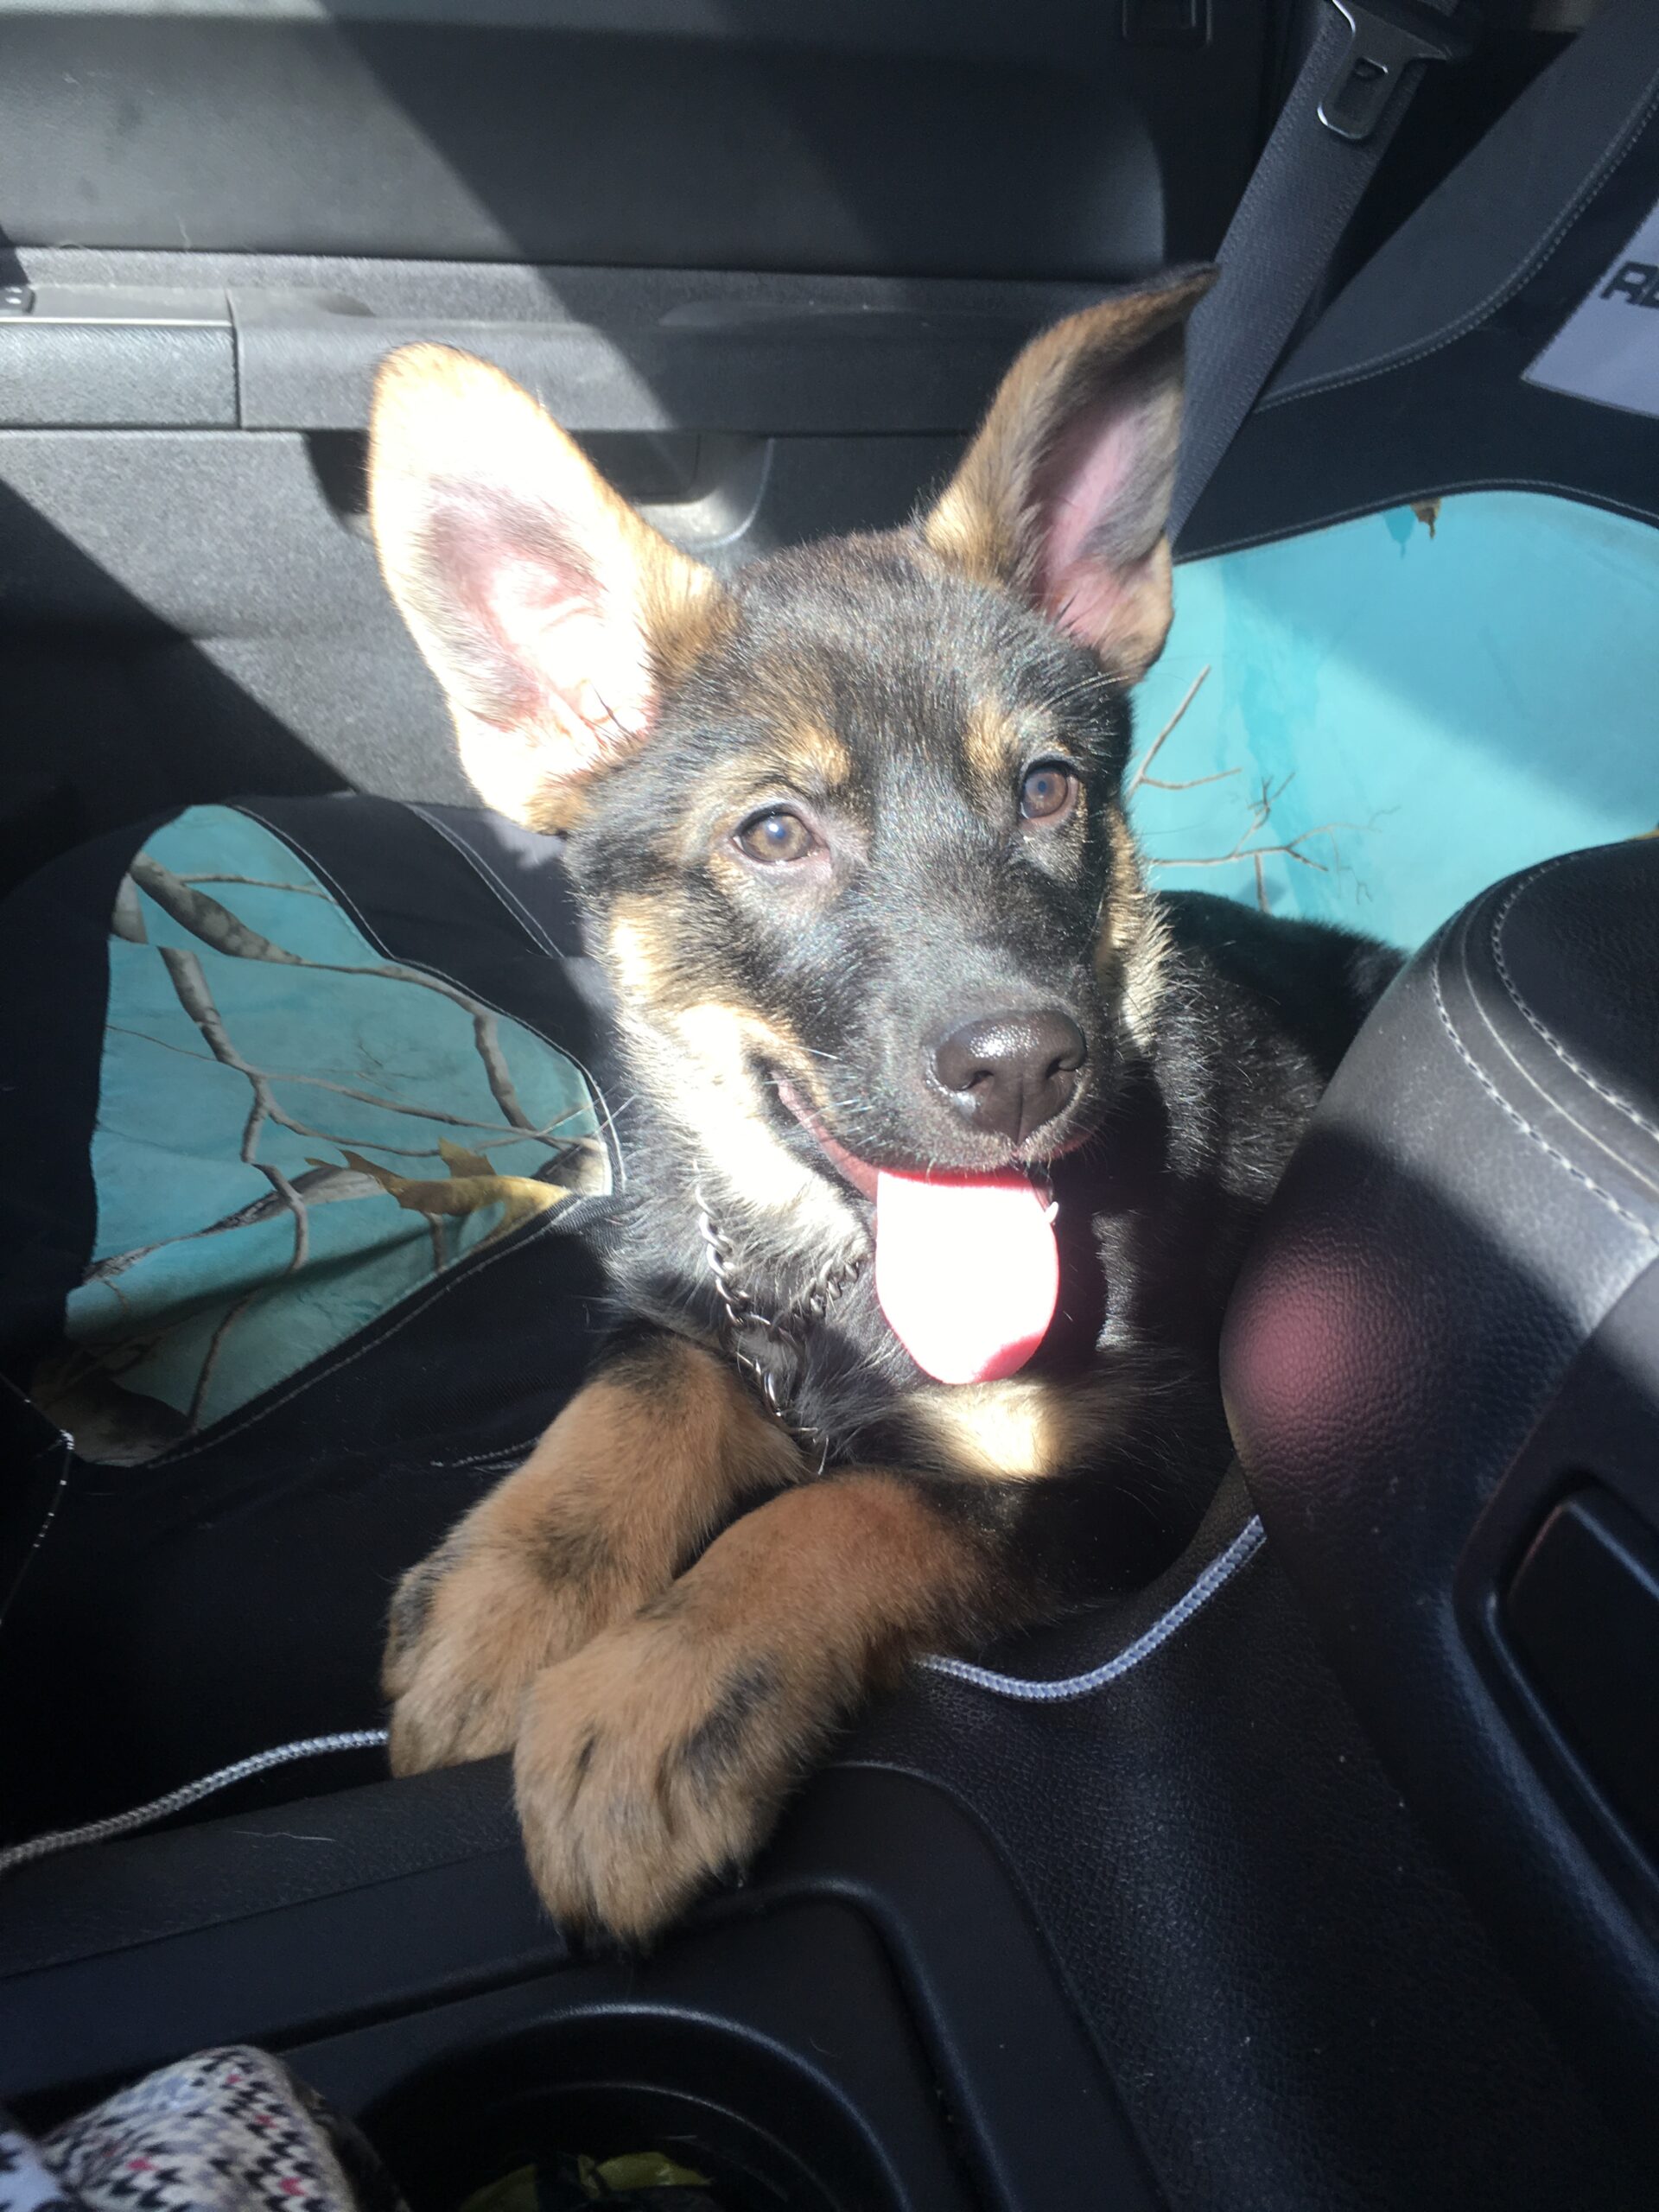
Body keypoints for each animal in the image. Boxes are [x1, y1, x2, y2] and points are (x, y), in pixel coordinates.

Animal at [366, 267, 1400, 1944]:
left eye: (1047, 792)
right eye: (776, 834)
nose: (1026, 1067)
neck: (833, 1278)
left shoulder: (1125, 1468)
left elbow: (852, 1514)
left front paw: (649, 1699)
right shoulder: (691, 1317)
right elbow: (618, 1421)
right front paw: (492, 1617)